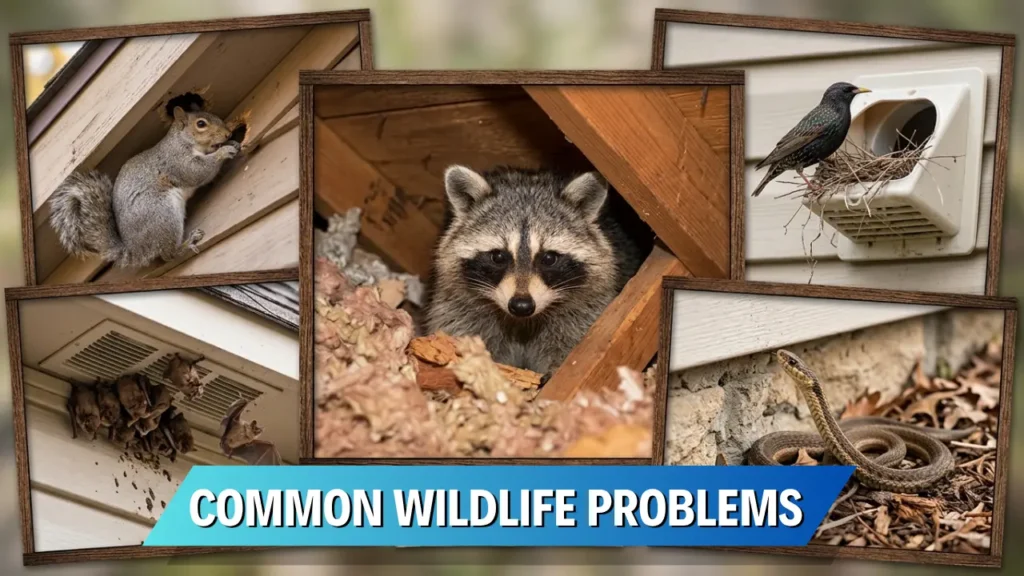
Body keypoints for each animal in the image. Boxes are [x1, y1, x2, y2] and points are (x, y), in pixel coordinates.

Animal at [49, 105, 240, 269]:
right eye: (201, 124)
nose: (228, 133)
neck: (182, 140)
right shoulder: (176, 161)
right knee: (169, 255)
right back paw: (187, 243)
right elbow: (198, 172)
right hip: (163, 214)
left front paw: (232, 144)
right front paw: (224, 152)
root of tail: (136, 249)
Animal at [424, 165, 650, 376]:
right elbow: (461, 327)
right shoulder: (460, 307)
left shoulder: (586, 309)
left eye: (548, 258)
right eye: (498, 257)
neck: (522, 322)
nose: (521, 306)